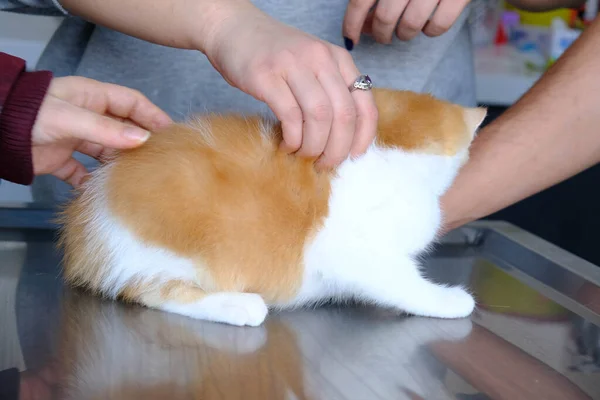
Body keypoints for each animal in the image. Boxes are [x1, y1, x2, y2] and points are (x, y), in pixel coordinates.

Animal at [57, 87, 488, 324]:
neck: (388, 156)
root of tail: (83, 222)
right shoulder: (350, 249)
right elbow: (398, 280)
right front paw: (447, 300)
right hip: (160, 248)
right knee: (152, 292)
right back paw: (239, 306)